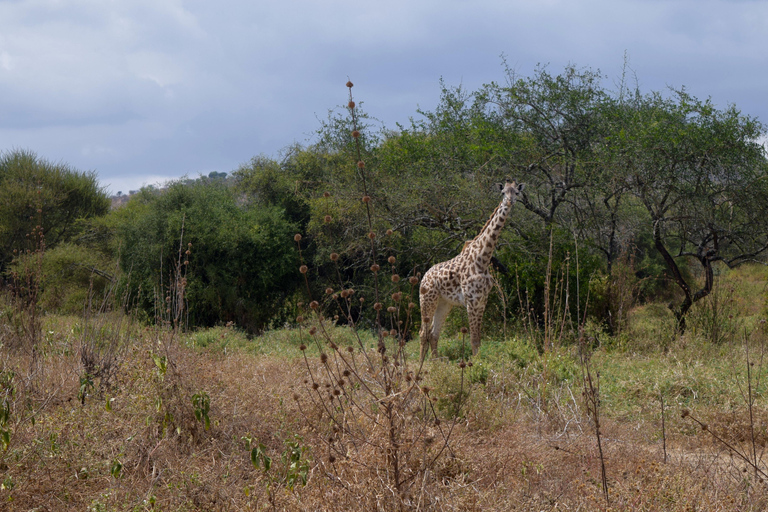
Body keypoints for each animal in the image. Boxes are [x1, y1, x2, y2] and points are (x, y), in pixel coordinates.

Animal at [416, 180, 524, 360]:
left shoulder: (482, 301)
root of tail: (424, 277)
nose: (509, 202)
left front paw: (478, 360)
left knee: (433, 333)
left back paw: (436, 360)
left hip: (444, 303)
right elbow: (473, 338)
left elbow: (478, 339)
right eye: (503, 193)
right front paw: (475, 362)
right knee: (423, 333)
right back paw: (421, 362)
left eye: (516, 192)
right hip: (427, 299)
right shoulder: (471, 301)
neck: (483, 258)